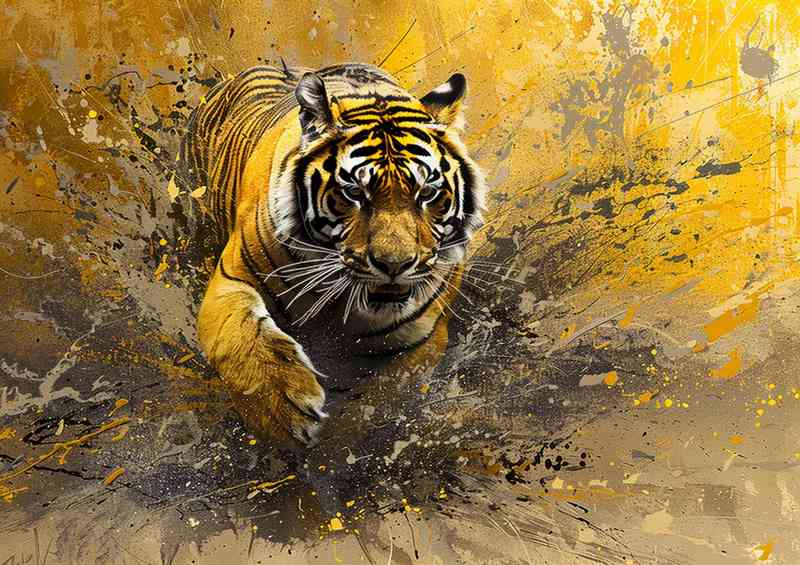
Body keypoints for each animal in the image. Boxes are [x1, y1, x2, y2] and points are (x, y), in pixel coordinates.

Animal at [179, 62, 487, 446]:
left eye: (427, 192)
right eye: (354, 192)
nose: (395, 265)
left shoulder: (423, 338)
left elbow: (376, 405)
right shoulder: (232, 275)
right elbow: (237, 336)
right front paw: (281, 410)